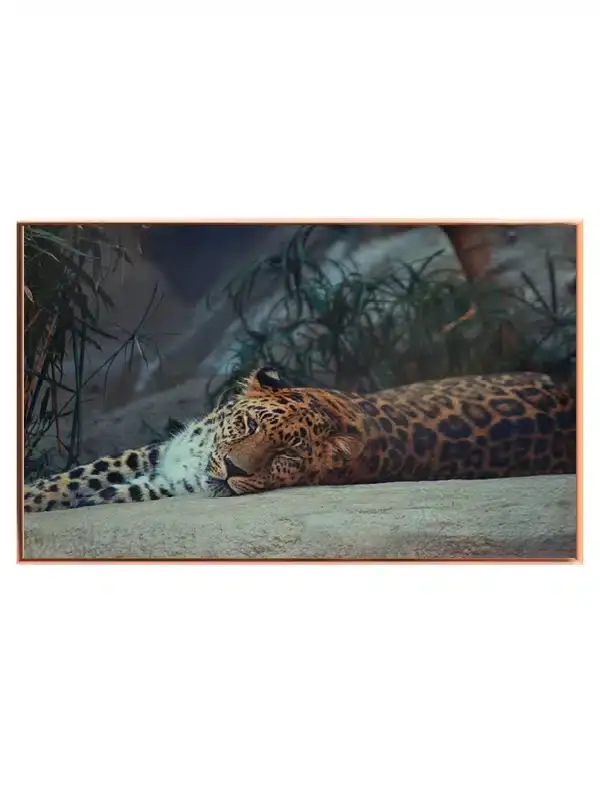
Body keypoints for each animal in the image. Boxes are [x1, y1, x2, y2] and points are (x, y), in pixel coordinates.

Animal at [23, 365, 576, 512]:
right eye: (248, 427)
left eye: (286, 454)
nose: (234, 470)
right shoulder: (161, 450)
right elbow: (76, 474)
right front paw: (34, 495)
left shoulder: (172, 481)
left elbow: (111, 490)